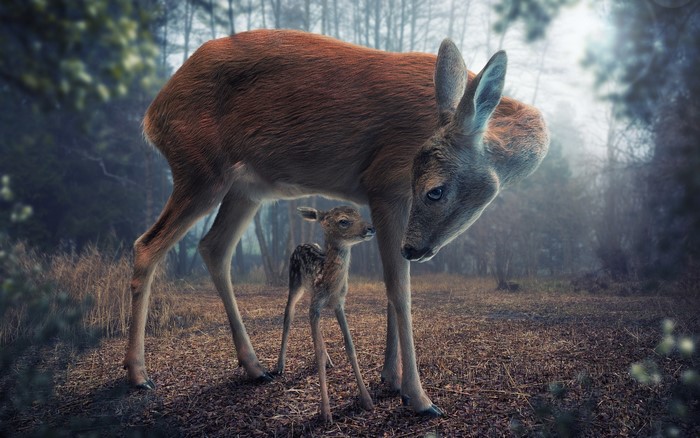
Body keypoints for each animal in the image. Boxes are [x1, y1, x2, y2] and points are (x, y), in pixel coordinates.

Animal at [275, 206, 375, 424]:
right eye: (343, 221)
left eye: (359, 213)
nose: (371, 228)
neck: (330, 285)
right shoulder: (317, 304)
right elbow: (317, 352)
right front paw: (326, 412)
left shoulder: (339, 304)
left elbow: (350, 346)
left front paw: (367, 400)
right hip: (295, 283)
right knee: (289, 315)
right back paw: (279, 365)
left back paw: (329, 360)